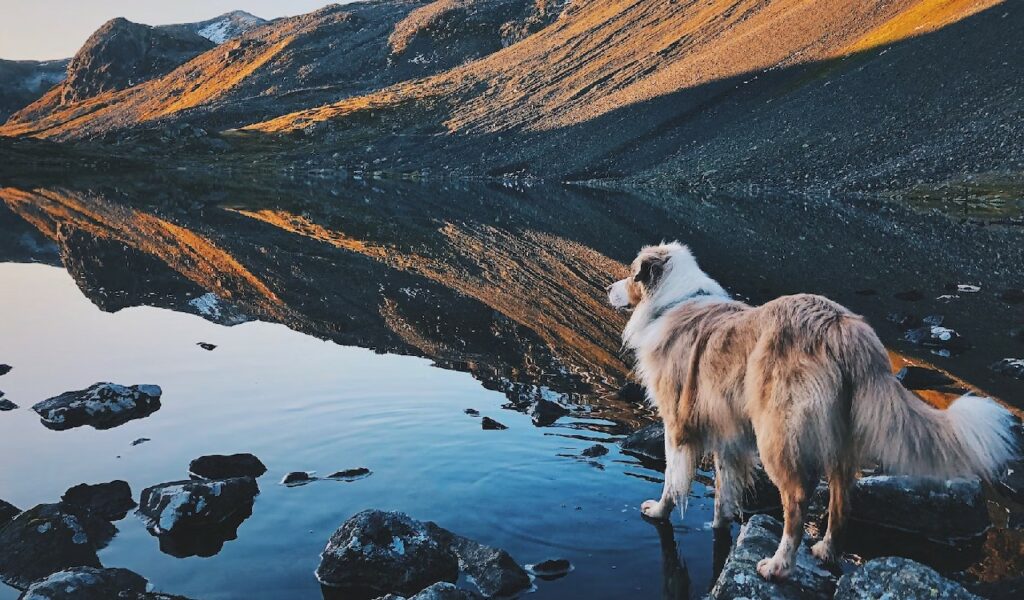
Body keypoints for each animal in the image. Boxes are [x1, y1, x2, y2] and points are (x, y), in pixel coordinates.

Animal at [606, 240, 1015, 577]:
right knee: (842, 495)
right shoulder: (728, 433)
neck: (672, 301)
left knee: (798, 501)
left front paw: (658, 511)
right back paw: (826, 551)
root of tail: (844, 328)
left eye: (632, 272)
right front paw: (720, 526)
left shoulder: (677, 425)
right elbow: (725, 489)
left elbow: (672, 481)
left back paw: (778, 565)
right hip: (839, 438)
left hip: (777, 434)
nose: (610, 289)